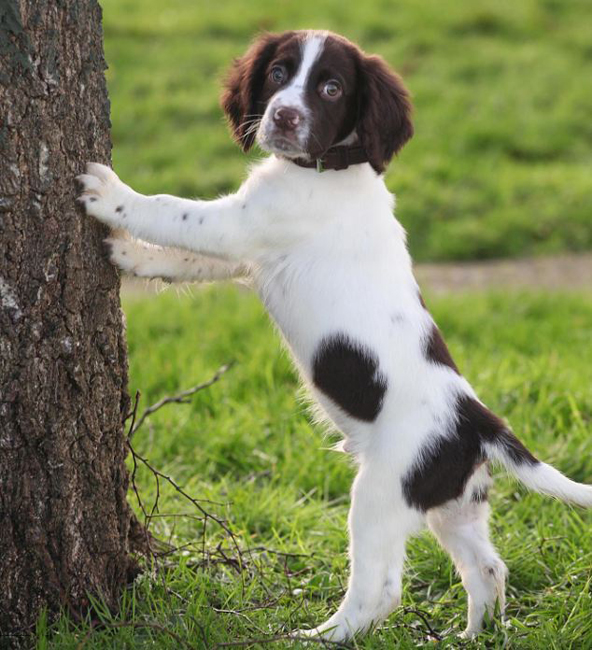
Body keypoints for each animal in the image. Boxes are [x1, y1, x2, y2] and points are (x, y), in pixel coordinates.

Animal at [78, 29, 592, 636]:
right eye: (278, 74)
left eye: (331, 88)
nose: (283, 115)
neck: (327, 168)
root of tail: (476, 419)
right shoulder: (247, 250)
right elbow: (185, 259)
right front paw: (129, 254)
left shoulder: (241, 225)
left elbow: (172, 211)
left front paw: (111, 195)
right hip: (454, 504)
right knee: (488, 567)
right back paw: (470, 638)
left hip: (379, 495)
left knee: (380, 591)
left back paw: (319, 637)